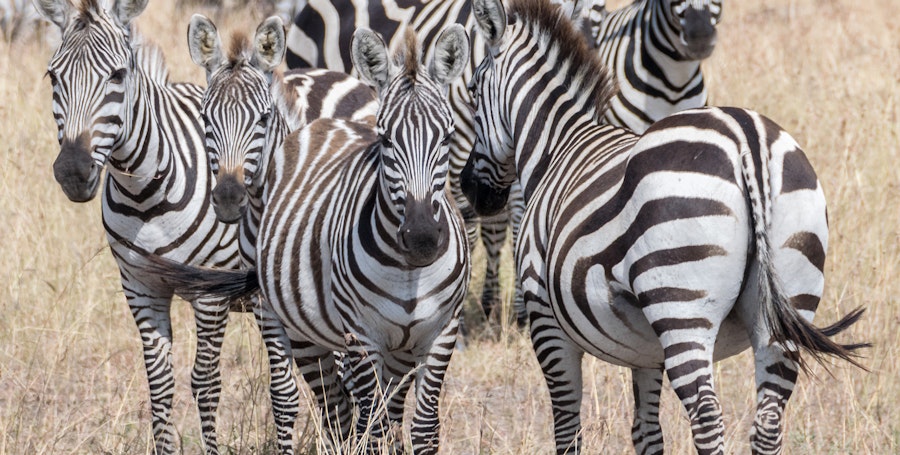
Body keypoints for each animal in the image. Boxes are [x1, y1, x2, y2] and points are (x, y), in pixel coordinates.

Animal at [35, 0, 299, 453]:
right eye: (54, 76)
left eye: (117, 75)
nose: (72, 172)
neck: (145, 194)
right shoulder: (140, 287)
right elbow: (160, 386)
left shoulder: (210, 292)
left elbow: (206, 385)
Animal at [148, 25, 471, 453]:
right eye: (385, 139)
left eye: (448, 137)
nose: (421, 238)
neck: (408, 271)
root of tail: (322, 124)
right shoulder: (361, 336)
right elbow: (370, 427)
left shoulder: (441, 333)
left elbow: (421, 429)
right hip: (289, 321)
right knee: (323, 404)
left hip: (393, 349)